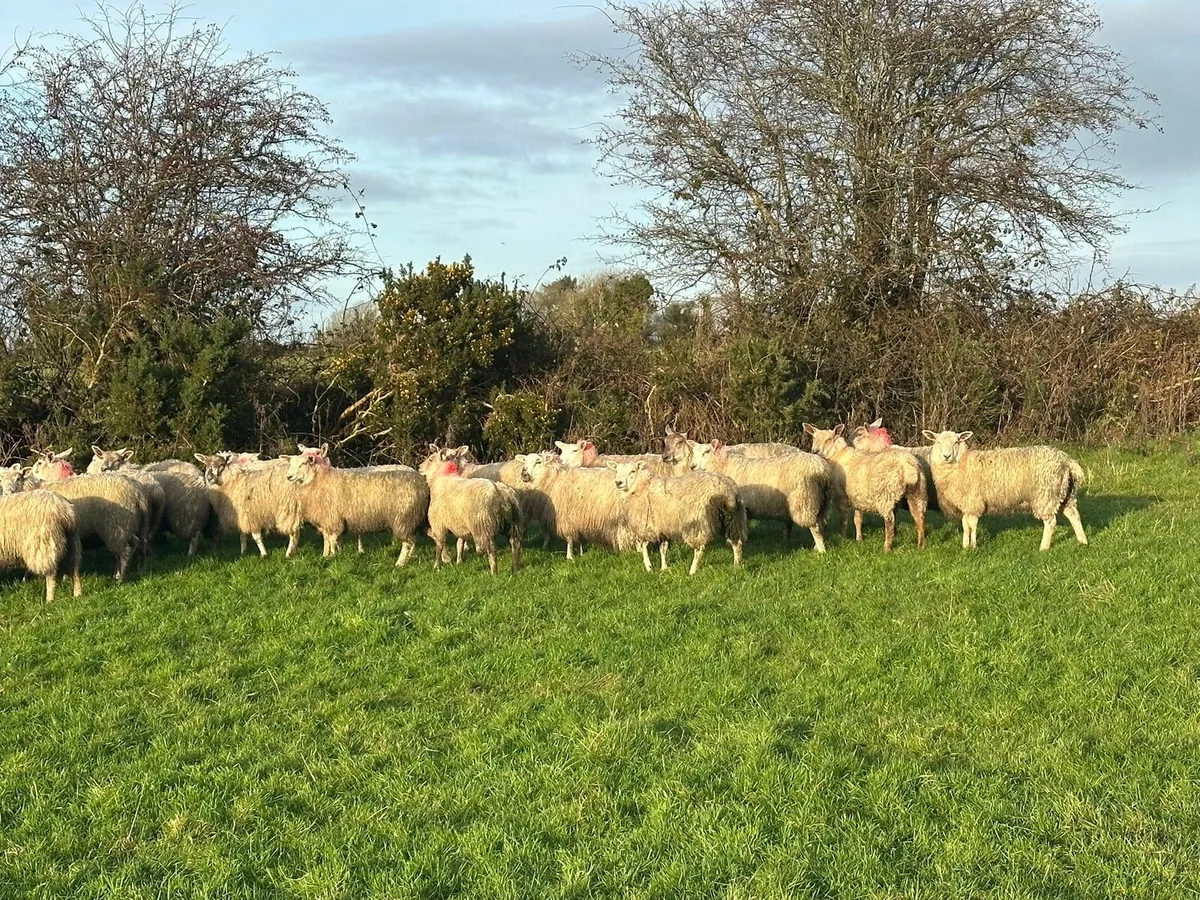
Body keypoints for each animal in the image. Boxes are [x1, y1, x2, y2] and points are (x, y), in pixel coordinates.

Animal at [282, 449, 429, 566]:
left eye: (303, 463)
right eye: (291, 463)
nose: (288, 476)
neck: (320, 479)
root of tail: (422, 481)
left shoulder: (333, 520)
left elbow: (332, 540)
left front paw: (333, 557)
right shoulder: (327, 520)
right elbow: (328, 540)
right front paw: (326, 556)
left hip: (403, 518)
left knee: (408, 543)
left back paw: (400, 563)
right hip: (412, 519)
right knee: (413, 541)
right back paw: (411, 558)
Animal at [609, 460, 746, 575]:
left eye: (632, 471)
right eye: (616, 471)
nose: (618, 482)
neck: (641, 487)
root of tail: (725, 490)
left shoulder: (646, 525)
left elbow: (644, 547)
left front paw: (649, 567)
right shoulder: (663, 527)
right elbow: (663, 548)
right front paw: (664, 568)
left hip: (696, 522)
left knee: (699, 549)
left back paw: (692, 571)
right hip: (732, 518)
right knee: (736, 542)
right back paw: (737, 566)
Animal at [688, 440, 830, 551]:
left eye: (707, 451)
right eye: (694, 452)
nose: (692, 466)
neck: (723, 464)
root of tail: (821, 469)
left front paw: (729, 542)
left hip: (805, 500)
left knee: (814, 527)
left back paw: (821, 550)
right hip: (821, 501)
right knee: (821, 525)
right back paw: (814, 546)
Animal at [803, 424, 927, 552]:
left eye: (829, 439)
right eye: (813, 437)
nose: (815, 451)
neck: (838, 455)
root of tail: (907, 466)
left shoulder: (841, 497)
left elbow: (843, 520)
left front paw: (843, 537)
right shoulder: (858, 498)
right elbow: (858, 519)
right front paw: (859, 539)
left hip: (885, 496)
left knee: (890, 521)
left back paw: (886, 548)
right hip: (918, 493)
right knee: (919, 518)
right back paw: (921, 546)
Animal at [921, 430, 1088, 550]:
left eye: (956, 442)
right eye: (937, 442)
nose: (946, 456)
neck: (962, 463)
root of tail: (1068, 461)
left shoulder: (974, 501)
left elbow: (972, 525)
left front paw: (973, 546)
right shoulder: (968, 504)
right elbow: (965, 524)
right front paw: (965, 545)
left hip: (1045, 495)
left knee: (1051, 522)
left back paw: (1044, 547)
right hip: (1066, 492)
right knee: (1074, 515)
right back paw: (1082, 541)